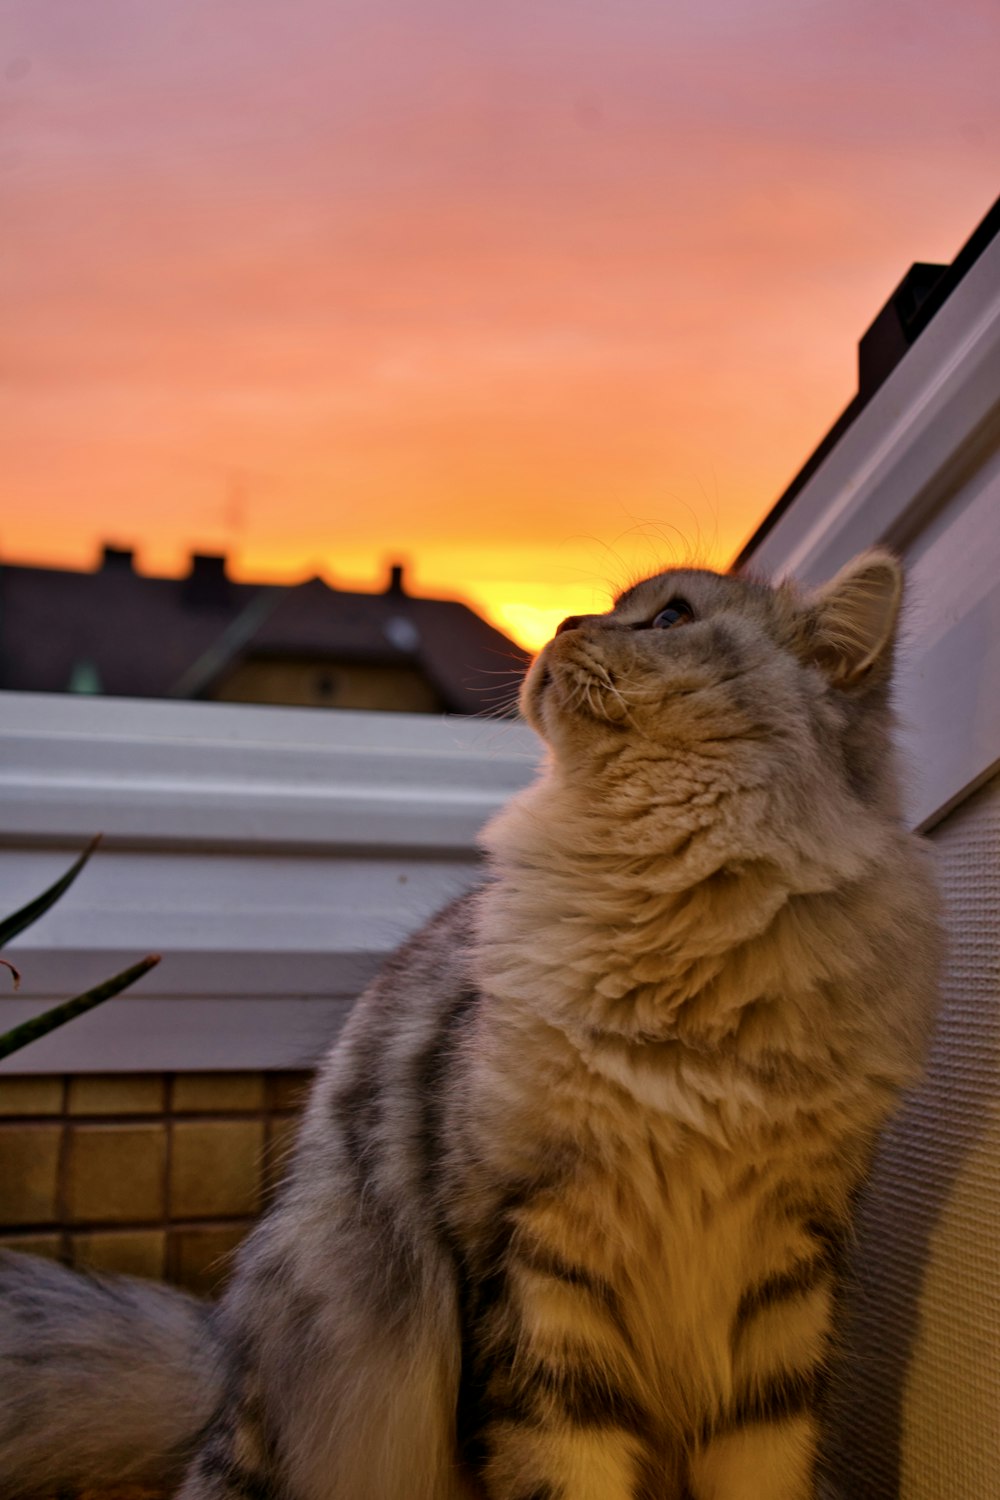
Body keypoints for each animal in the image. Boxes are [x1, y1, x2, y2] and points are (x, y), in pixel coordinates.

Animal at [0, 552, 941, 1500]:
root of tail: (219, 1347)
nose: (563, 623)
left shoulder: (785, 1269)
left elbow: (766, 1466)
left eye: (671, 619)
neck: (675, 944)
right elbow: (560, 1470)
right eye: (608, 610)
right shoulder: (536, 1253)